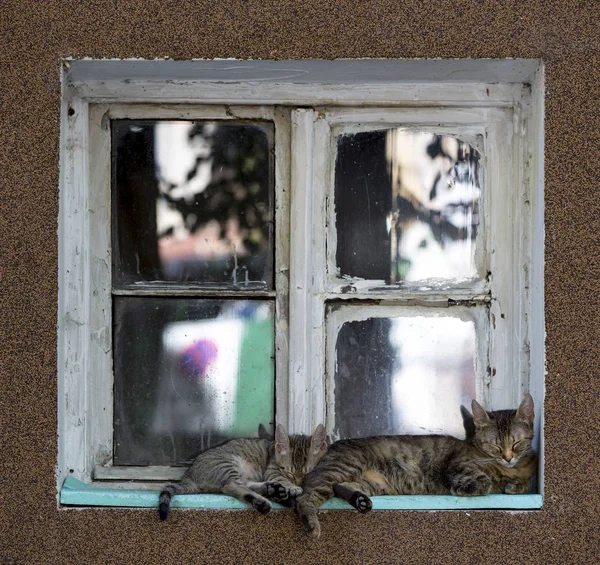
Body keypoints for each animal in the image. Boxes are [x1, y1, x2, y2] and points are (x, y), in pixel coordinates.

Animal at [158, 424, 328, 520]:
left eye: (307, 473)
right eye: (289, 473)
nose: (298, 482)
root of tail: (188, 474)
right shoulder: (272, 470)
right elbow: (281, 478)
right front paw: (293, 487)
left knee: (246, 486)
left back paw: (273, 490)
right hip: (227, 465)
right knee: (233, 487)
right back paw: (264, 501)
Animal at [298, 394, 536, 540]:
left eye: (516, 443)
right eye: (496, 445)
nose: (508, 458)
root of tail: (330, 448)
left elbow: (520, 484)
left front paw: (514, 485)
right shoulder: (457, 464)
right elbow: (483, 481)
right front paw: (466, 487)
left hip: (369, 484)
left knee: (340, 488)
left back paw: (360, 500)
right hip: (342, 468)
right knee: (305, 495)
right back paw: (311, 522)